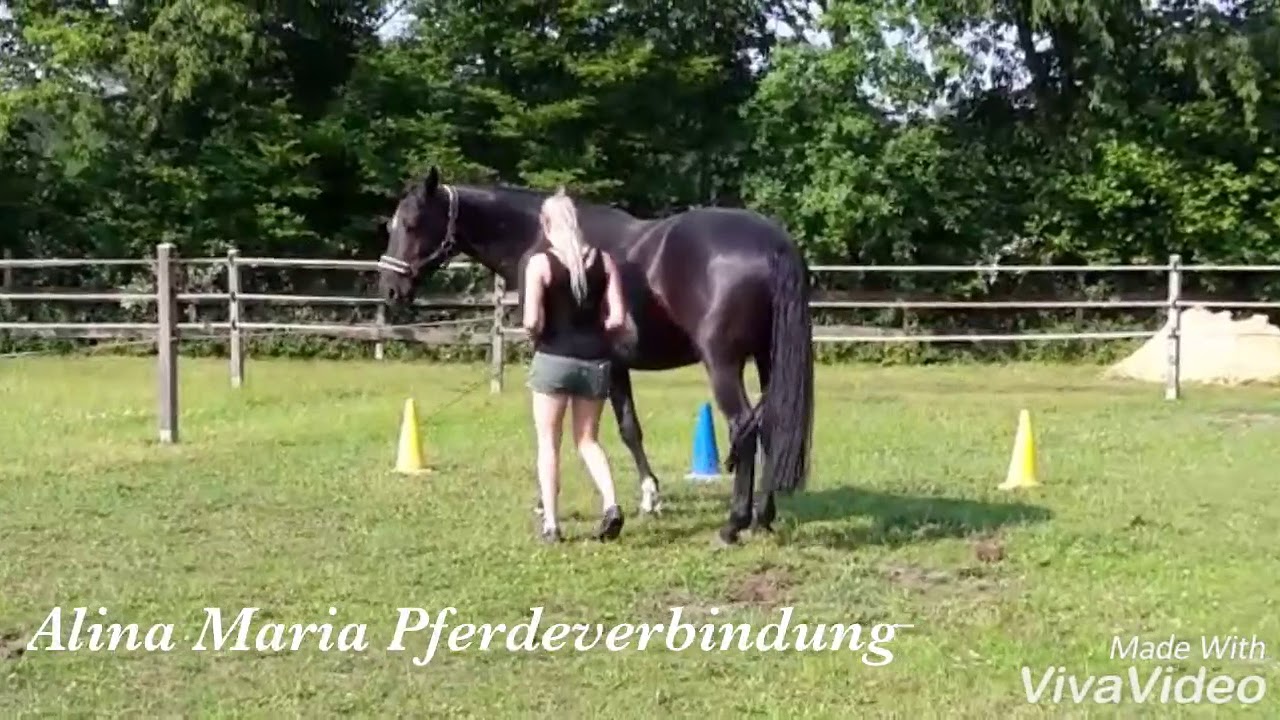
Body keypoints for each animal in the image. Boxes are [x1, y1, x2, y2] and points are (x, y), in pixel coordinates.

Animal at [376, 166, 815, 545]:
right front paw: (649, 497)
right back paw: (762, 518)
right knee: (771, 425)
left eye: (412, 224)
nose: (391, 289)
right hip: (768, 360)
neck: (537, 236)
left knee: (743, 427)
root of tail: (773, 243)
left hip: (723, 363)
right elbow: (630, 428)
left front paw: (549, 504)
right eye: (392, 226)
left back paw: (733, 525)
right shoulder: (615, 364)